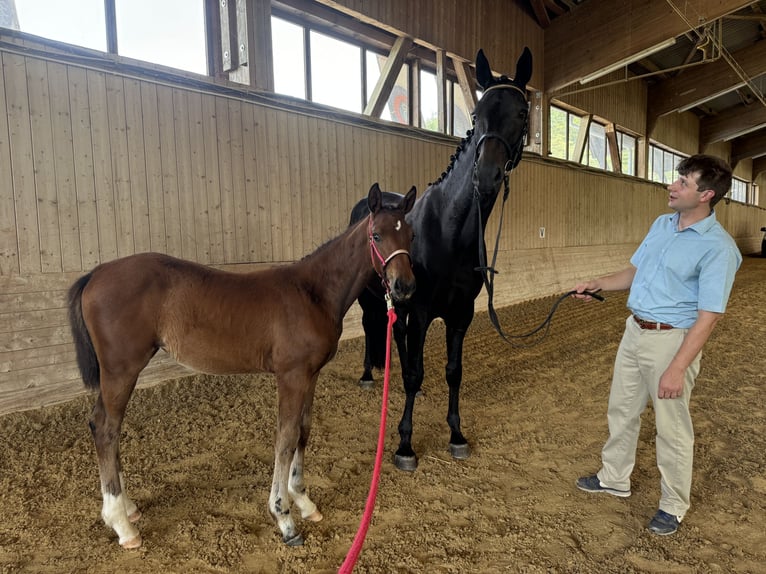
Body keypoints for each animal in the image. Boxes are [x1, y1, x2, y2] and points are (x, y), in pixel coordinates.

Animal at [70, 183, 420, 548]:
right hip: (121, 371)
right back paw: (122, 525)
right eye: (377, 235)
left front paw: (304, 502)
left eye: (410, 234)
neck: (313, 292)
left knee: (103, 425)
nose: (405, 286)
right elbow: (285, 437)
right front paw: (284, 518)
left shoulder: (311, 375)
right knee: (107, 429)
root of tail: (94, 274)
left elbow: (304, 431)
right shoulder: (291, 376)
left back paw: (128, 508)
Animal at [352, 48, 532, 472]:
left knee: (396, 337)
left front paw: (456, 434)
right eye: (477, 113)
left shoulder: (459, 314)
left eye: (521, 112)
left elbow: (454, 372)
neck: (450, 232)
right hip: (371, 298)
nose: (487, 175)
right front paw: (405, 444)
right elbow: (416, 374)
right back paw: (368, 375)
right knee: (371, 327)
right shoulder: (420, 311)